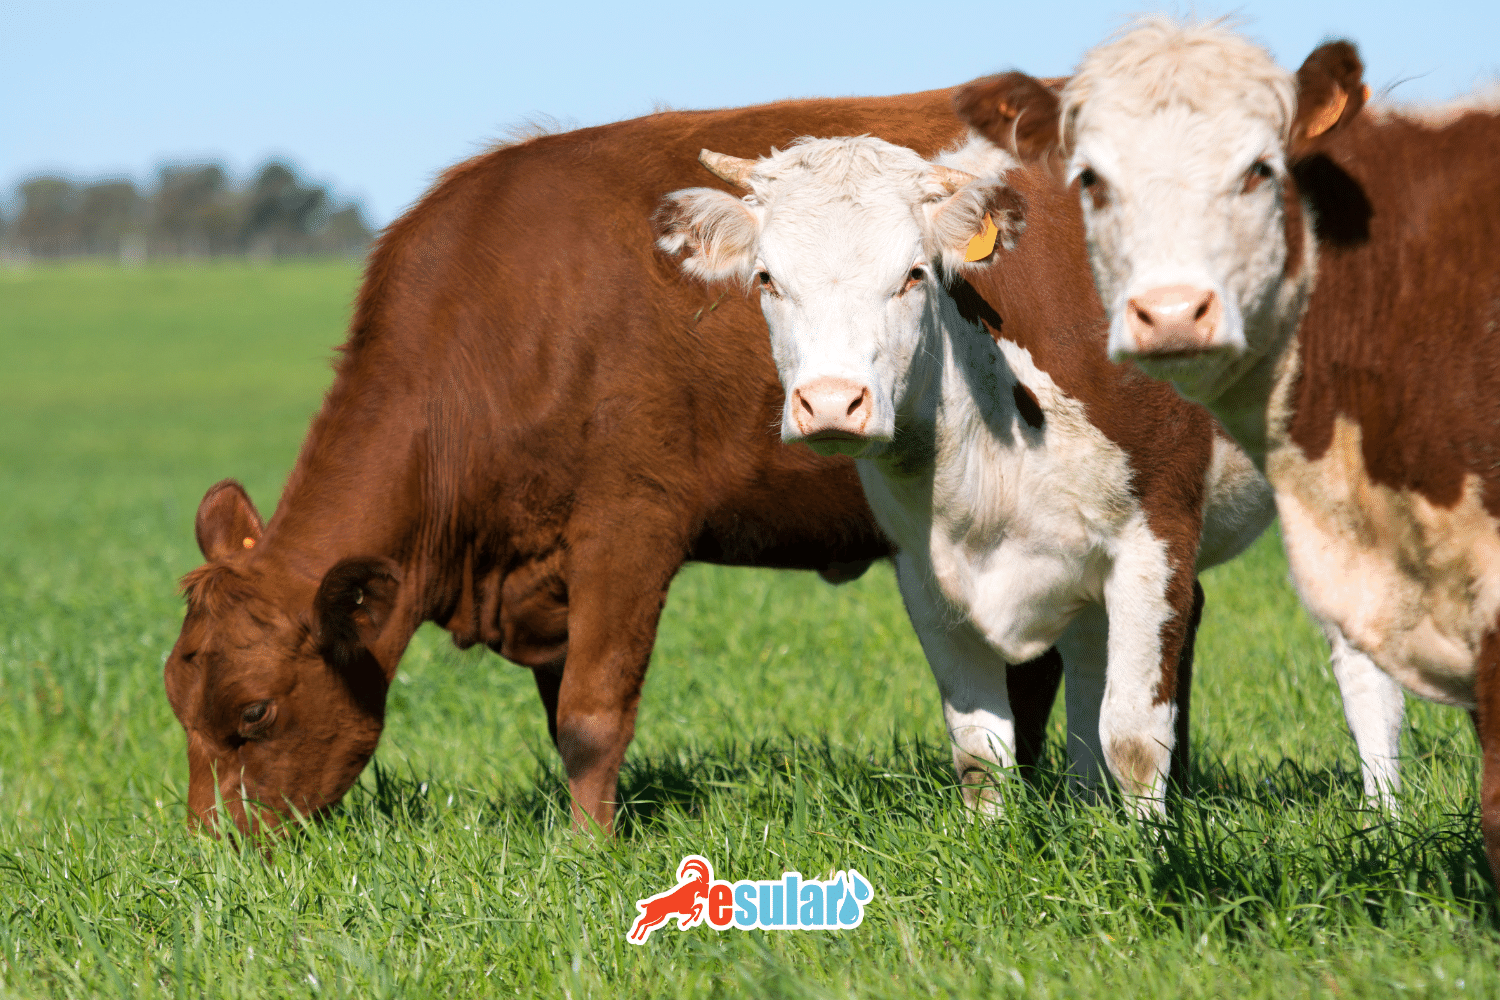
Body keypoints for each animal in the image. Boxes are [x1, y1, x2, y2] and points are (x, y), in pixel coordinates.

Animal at [163, 88, 1087, 839]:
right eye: (178, 702)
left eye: (255, 712)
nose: (215, 855)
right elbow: (560, 715)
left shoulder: (628, 527)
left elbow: (592, 714)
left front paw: (588, 853)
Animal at [656, 132, 1345, 814]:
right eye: (767, 278)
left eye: (914, 275)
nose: (830, 403)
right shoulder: (925, 572)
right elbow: (980, 750)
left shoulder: (1156, 535)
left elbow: (1133, 738)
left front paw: (1149, 843)